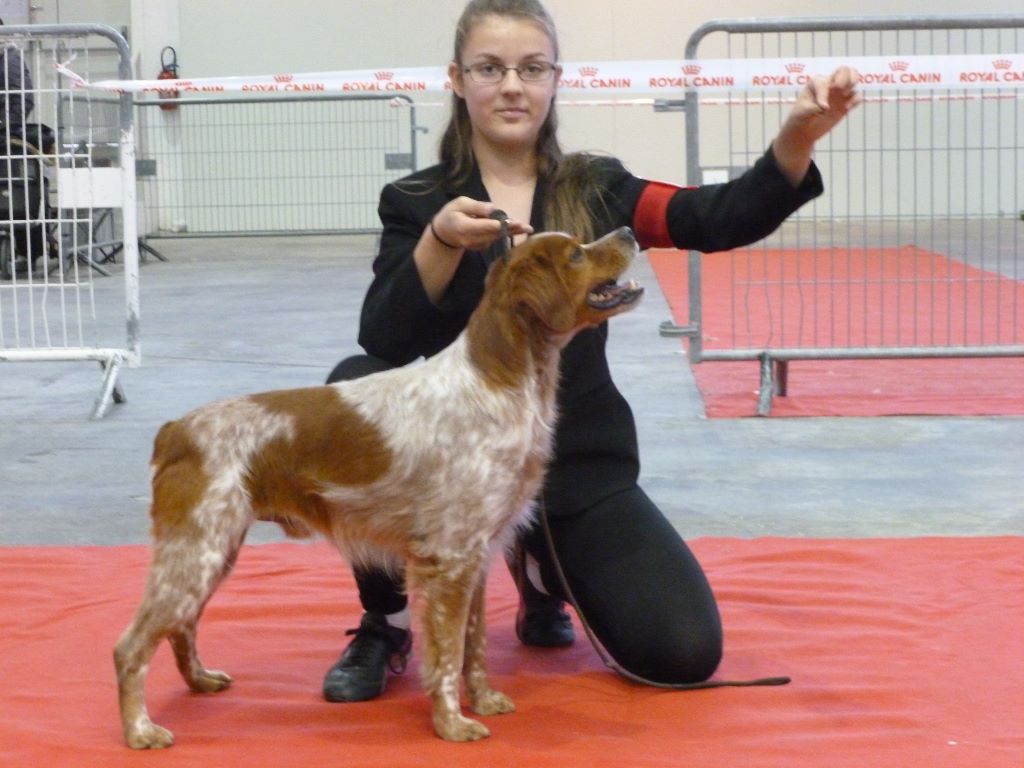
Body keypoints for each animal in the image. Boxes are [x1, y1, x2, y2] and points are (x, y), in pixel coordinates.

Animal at [112, 230, 638, 753]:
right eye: (576, 254)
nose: (629, 232)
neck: (498, 382)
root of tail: (176, 430)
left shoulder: (477, 558)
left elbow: (475, 647)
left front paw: (485, 700)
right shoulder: (449, 562)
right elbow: (448, 657)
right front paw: (452, 724)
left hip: (212, 553)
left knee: (181, 627)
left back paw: (200, 681)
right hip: (194, 553)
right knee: (130, 647)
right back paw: (140, 730)